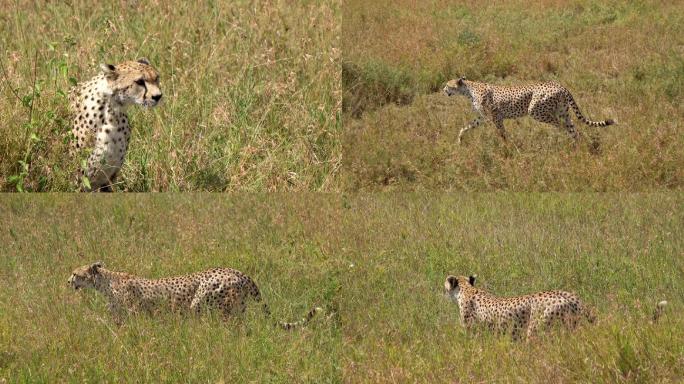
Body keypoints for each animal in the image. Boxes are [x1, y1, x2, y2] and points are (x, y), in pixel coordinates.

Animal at [68, 260, 322, 330]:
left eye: (75, 273)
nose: (68, 281)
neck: (105, 282)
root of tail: (238, 272)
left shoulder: (135, 312)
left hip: (205, 303)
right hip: (237, 308)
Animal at [444, 77, 616, 143]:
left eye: (447, 85)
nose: (443, 90)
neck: (468, 89)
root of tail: (559, 84)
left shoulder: (496, 117)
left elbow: (502, 133)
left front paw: (507, 147)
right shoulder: (483, 118)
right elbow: (465, 127)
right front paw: (459, 140)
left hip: (537, 111)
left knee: (562, 127)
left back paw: (566, 142)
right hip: (563, 112)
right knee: (573, 129)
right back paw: (576, 147)